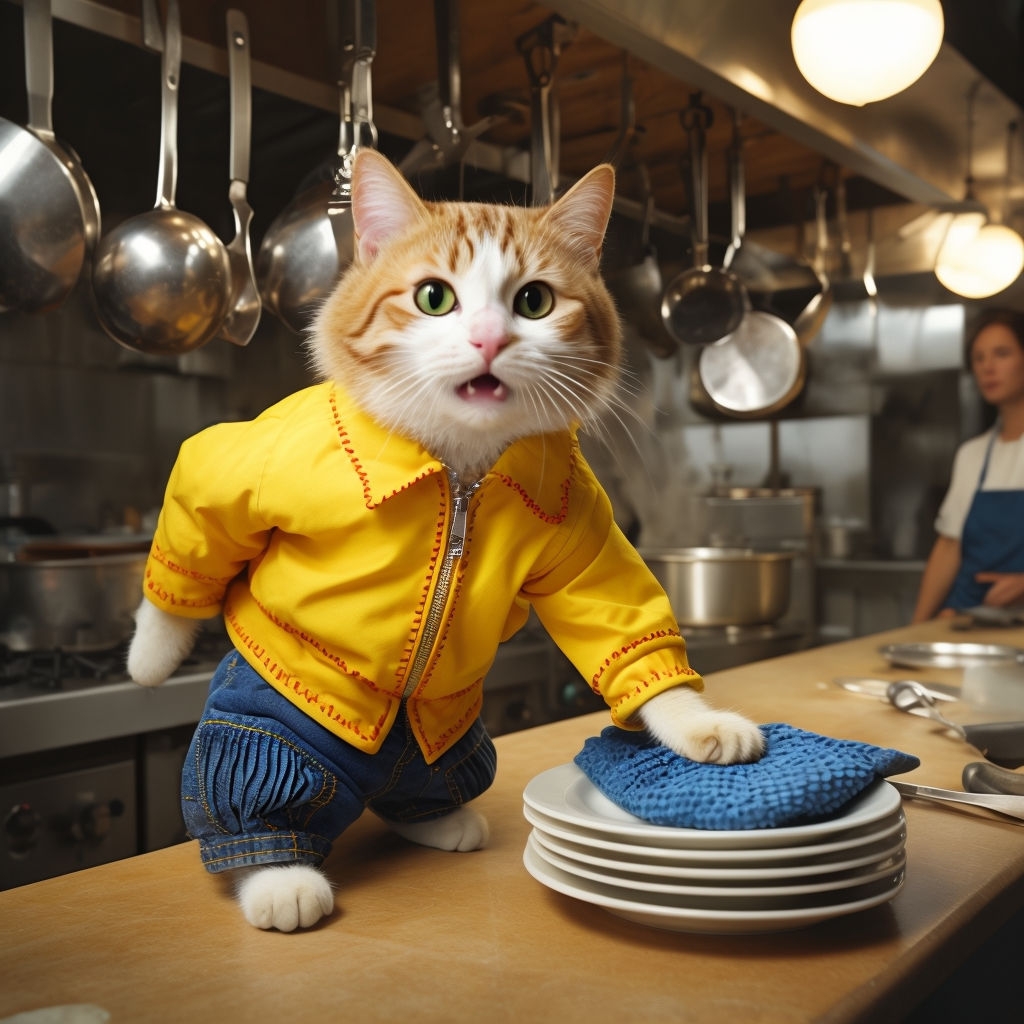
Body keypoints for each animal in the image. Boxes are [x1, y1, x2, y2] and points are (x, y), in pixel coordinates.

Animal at [128, 148, 765, 933]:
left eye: (535, 302)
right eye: (434, 298)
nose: (490, 339)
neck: (458, 474)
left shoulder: (582, 528)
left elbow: (622, 623)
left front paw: (698, 725)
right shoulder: (256, 456)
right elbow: (199, 527)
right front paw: (151, 656)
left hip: (459, 748)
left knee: (427, 788)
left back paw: (437, 818)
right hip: (271, 729)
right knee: (254, 781)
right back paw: (279, 876)